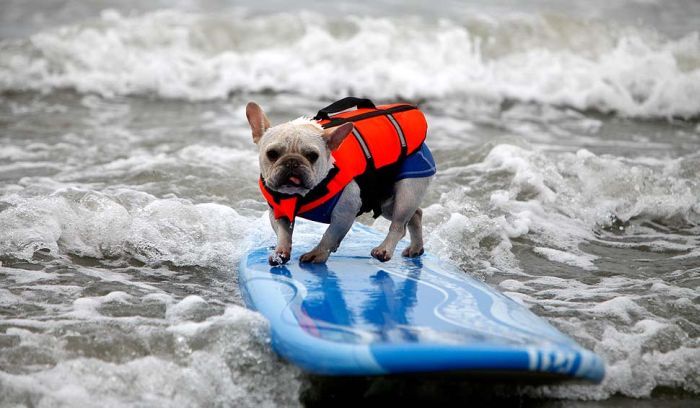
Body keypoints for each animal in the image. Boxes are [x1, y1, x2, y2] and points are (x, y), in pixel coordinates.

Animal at [245, 101, 432, 266]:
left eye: (312, 156)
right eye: (272, 153)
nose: (292, 162)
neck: (304, 194)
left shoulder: (345, 212)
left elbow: (330, 235)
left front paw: (317, 254)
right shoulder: (279, 212)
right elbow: (283, 233)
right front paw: (280, 253)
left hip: (407, 192)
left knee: (399, 224)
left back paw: (384, 250)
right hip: (386, 202)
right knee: (415, 215)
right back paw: (416, 248)